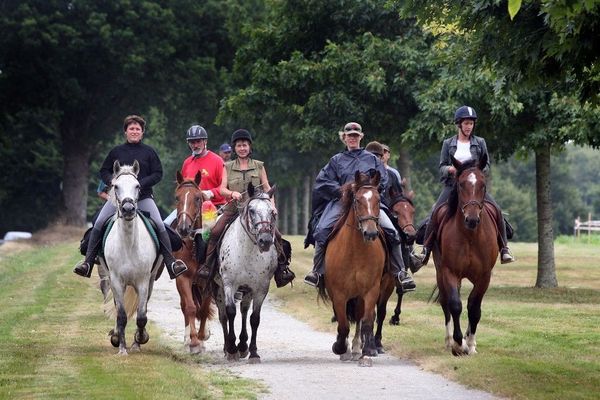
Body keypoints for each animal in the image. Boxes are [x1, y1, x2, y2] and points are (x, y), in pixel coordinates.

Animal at [98, 161, 161, 354]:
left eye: (137, 186)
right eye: (116, 186)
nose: (127, 209)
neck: (128, 245)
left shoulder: (143, 282)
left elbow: (141, 316)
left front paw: (139, 340)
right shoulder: (117, 281)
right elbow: (121, 315)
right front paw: (121, 347)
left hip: (150, 281)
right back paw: (117, 336)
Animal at [322, 170, 386, 368]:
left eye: (378, 199)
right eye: (357, 200)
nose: (371, 233)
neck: (356, 251)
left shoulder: (371, 290)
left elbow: (366, 322)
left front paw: (366, 354)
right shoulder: (338, 293)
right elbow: (342, 324)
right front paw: (340, 347)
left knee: (358, 317)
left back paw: (358, 349)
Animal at [432, 154, 496, 356]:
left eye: (483, 184)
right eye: (460, 184)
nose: (472, 219)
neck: (470, 236)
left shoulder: (484, 276)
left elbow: (474, 308)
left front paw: (471, 344)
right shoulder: (450, 272)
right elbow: (455, 304)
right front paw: (458, 343)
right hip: (440, 273)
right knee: (446, 303)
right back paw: (449, 340)